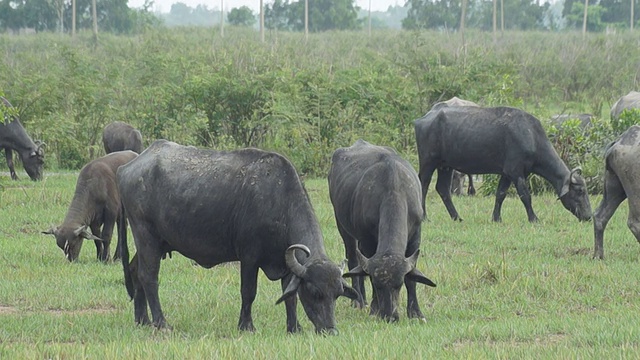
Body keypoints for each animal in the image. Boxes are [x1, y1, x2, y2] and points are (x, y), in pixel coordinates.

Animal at [116, 139, 360, 334]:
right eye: (315, 292)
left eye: (337, 294)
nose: (330, 330)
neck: (278, 202)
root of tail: (126, 168)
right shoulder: (249, 258)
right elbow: (248, 292)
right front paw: (246, 325)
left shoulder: (285, 264)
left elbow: (289, 297)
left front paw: (294, 327)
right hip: (146, 236)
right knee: (149, 277)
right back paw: (161, 322)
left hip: (155, 243)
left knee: (135, 271)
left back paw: (143, 320)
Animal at [330, 139, 436, 322]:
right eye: (378, 285)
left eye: (398, 284)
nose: (390, 316)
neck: (394, 187)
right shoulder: (367, 240)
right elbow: (364, 270)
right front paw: (374, 309)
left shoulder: (416, 235)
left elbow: (412, 278)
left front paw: (415, 312)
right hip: (343, 227)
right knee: (353, 259)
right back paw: (359, 301)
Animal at [412, 104, 592, 222]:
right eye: (580, 191)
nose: (589, 216)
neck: (531, 136)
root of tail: (424, 117)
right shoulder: (516, 172)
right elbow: (525, 195)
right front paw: (533, 218)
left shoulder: (506, 174)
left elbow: (500, 195)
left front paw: (496, 218)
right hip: (428, 163)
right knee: (423, 185)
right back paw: (424, 217)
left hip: (446, 166)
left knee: (442, 189)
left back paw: (456, 217)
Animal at [592, 126, 640, 258]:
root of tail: (619, 141)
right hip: (635, 190)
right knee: (634, 222)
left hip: (614, 186)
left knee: (600, 216)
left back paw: (598, 255)